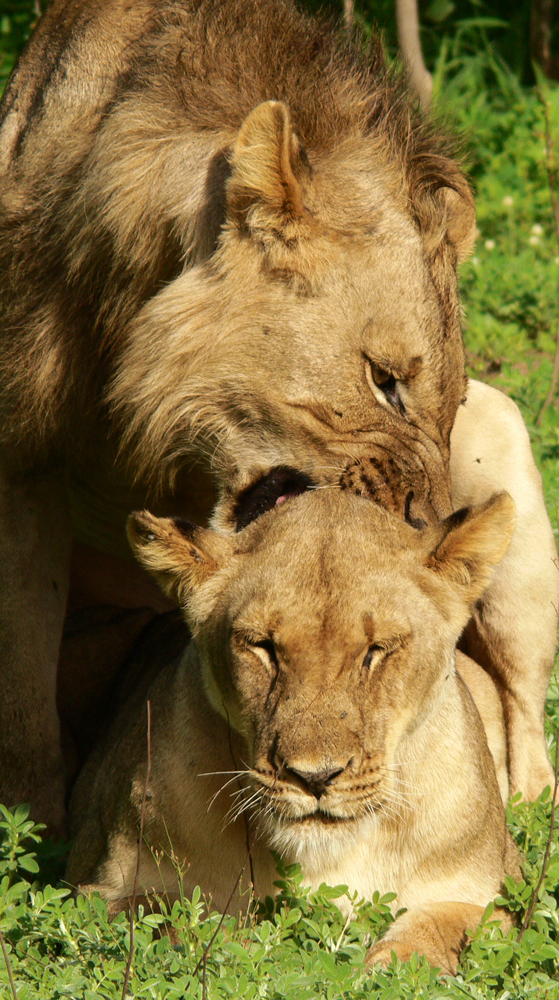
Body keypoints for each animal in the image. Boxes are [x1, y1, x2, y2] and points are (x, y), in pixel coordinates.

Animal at [0, 0, 556, 832]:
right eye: (384, 381)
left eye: (448, 402)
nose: (427, 529)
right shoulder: (21, 465)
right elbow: (23, 687)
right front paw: (32, 830)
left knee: (523, 707)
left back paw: (521, 804)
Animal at [68, 492, 524, 976]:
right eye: (261, 646)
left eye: (377, 650)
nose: (315, 777)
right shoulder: (96, 886)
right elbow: (168, 914)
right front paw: (240, 949)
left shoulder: (492, 890)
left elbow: (444, 926)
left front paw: (394, 967)